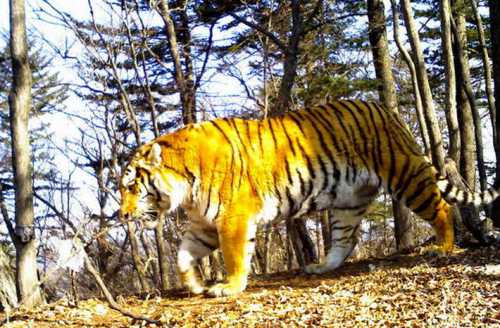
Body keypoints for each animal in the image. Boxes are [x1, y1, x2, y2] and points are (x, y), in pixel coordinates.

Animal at [119, 99, 498, 298]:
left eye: (131, 186)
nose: (122, 215)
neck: (185, 186)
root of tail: (385, 109)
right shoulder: (205, 224)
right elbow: (183, 255)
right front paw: (195, 285)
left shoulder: (233, 218)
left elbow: (235, 256)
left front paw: (229, 286)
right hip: (347, 204)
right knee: (345, 241)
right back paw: (321, 266)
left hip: (407, 176)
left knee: (442, 208)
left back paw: (444, 248)